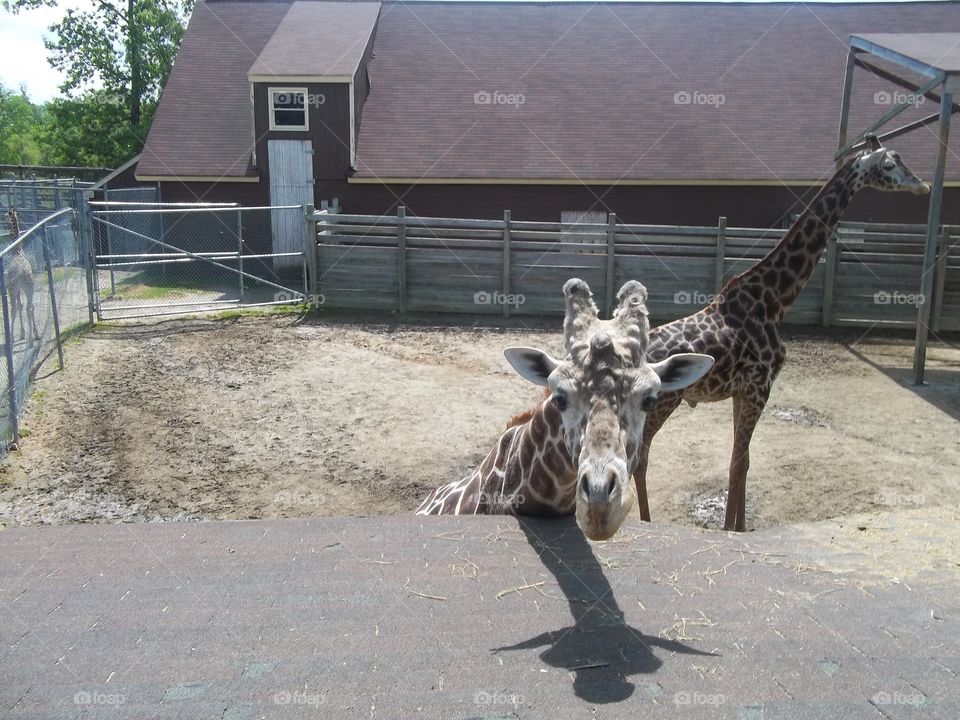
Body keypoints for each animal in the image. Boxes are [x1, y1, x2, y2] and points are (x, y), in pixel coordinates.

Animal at [3, 210, 40, 343]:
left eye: (6, 215)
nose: (4, 218)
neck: (18, 252)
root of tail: (21, 274)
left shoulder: (13, 288)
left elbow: (17, 308)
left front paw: (19, 334)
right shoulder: (20, 289)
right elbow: (21, 306)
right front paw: (24, 333)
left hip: (13, 288)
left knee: (16, 308)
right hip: (29, 288)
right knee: (30, 307)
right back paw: (35, 335)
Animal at [633, 135, 930, 531]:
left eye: (901, 159)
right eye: (888, 165)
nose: (922, 185)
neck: (775, 298)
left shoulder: (742, 391)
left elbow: (743, 462)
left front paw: (740, 526)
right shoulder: (760, 386)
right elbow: (737, 463)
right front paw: (731, 530)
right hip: (663, 403)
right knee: (638, 457)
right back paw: (644, 521)